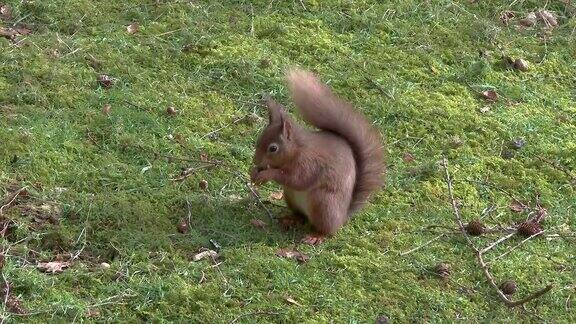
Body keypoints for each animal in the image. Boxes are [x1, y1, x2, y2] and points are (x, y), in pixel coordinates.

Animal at [250, 69, 384, 246]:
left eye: (273, 148)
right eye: (259, 140)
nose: (256, 161)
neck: (297, 150)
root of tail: (342, 216)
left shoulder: (309, 164)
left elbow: (296, 179)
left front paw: (266, 174)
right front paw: (254, 172)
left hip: (323, 203)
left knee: (326, 229)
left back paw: (316, 236)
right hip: (291, 196)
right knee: (302, 217)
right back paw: (291, 219)